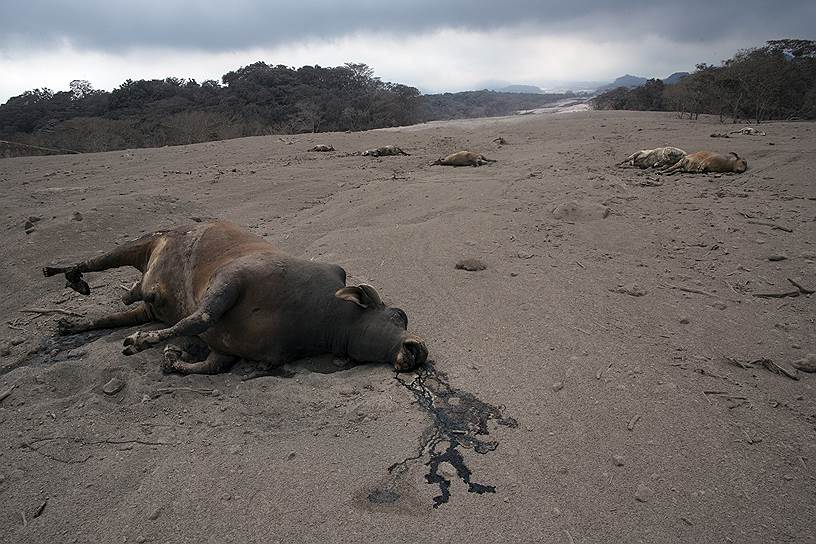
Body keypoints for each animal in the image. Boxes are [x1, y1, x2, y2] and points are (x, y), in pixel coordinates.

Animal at [43, 221, 428, 374]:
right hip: (146, 241)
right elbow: (198, 318)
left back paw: (71, 324)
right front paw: (141, 343)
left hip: (147, 307)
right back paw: (67, 274)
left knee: (115, 314)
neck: (323, 317)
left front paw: (173, 359)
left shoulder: (227, 350)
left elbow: (211, 366)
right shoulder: (230, 280)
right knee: (96, 260)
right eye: (398, 315)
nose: (419, 350)